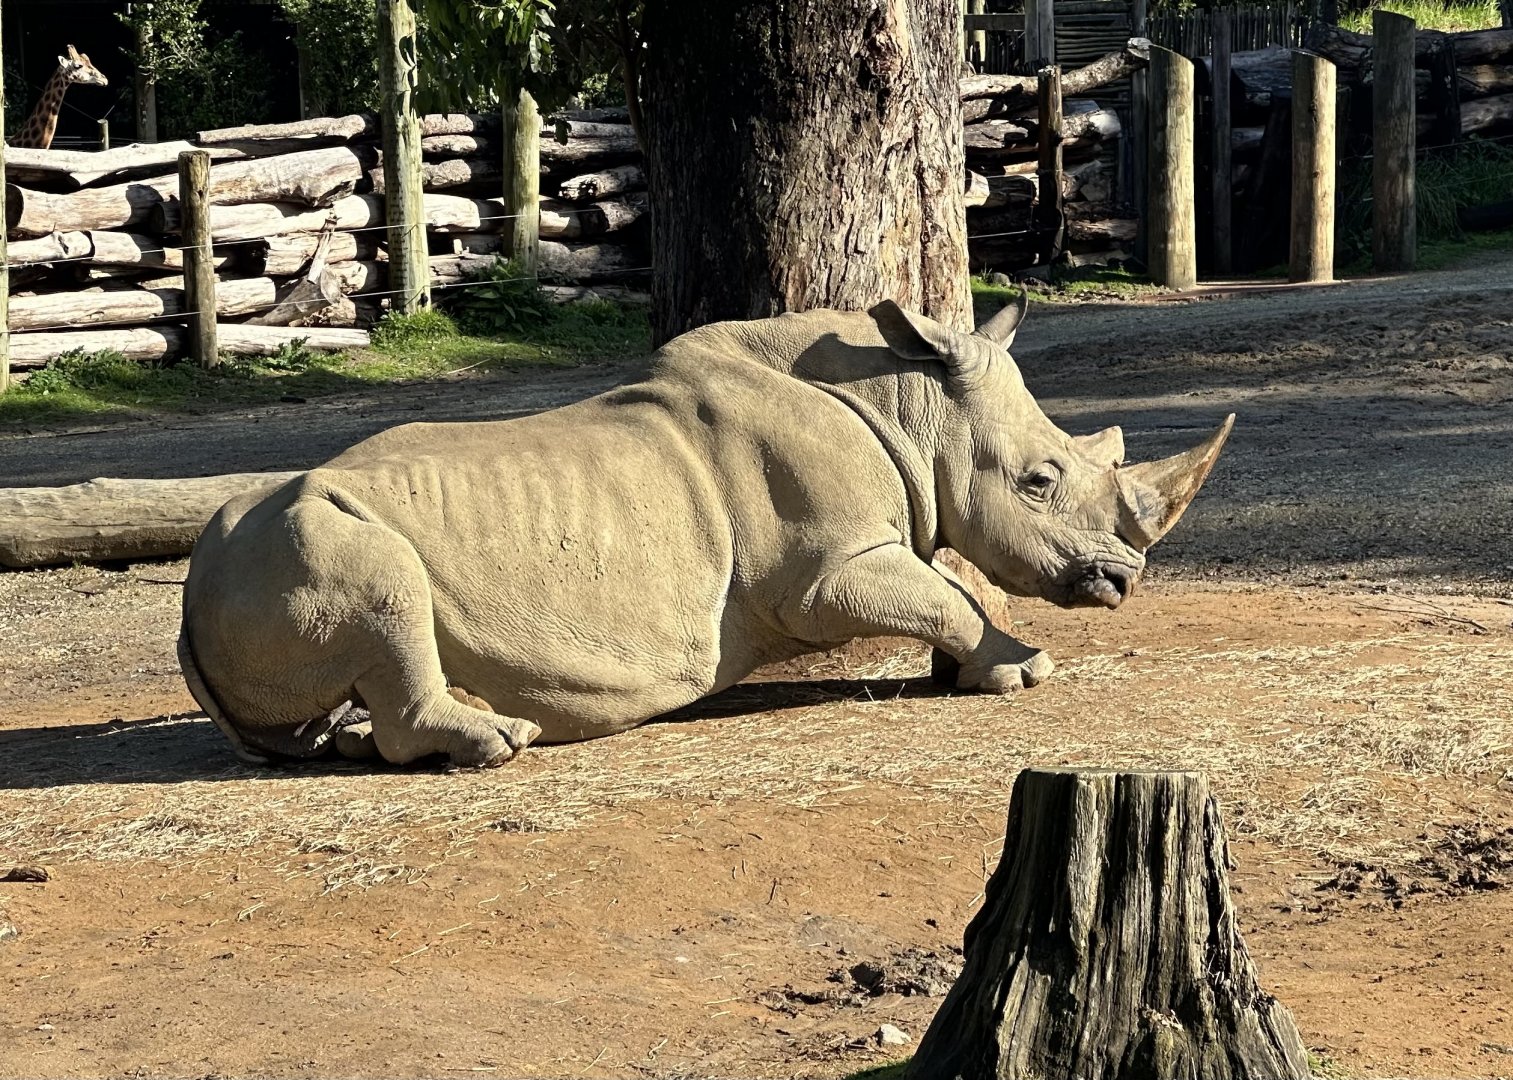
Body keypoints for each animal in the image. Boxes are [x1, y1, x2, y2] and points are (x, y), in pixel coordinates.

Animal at [179, 296, 1232, 767]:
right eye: (1039, 483)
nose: (1122, 581)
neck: (908, 402)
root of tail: (189, 603)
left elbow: (941, 587)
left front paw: (965, 671)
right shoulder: (824, 573)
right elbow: (940, 591)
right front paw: (1023, 670)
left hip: (256, 552)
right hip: (300, 539)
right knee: (380, 579)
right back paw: (501, 739)